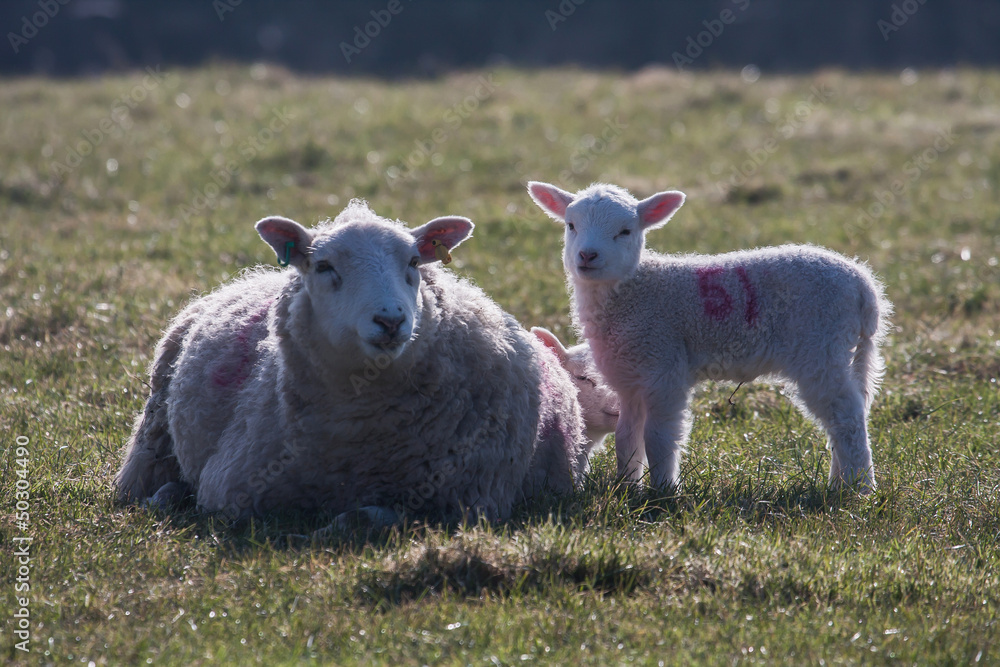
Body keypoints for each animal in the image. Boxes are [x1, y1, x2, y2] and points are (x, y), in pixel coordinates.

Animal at [115, 200, 591, 524]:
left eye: (414, 261)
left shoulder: (468, 503)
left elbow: (367, 517)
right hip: (152, 436)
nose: (390, 319)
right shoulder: (230, 487)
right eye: (323, 265)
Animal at [527, 181, 892, 494]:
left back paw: (858, 490)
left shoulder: (665, 366)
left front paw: (663, 492)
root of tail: (865, 287)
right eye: (570, 225)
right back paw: (840, 483)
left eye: (625, 231)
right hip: (838, 350)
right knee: (848, 412)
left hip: (820, 348)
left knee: (847, 419)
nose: (587, 256)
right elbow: (626, 437)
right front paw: (628, 487)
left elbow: (658, 436)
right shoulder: (628, 377)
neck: (634, 289)